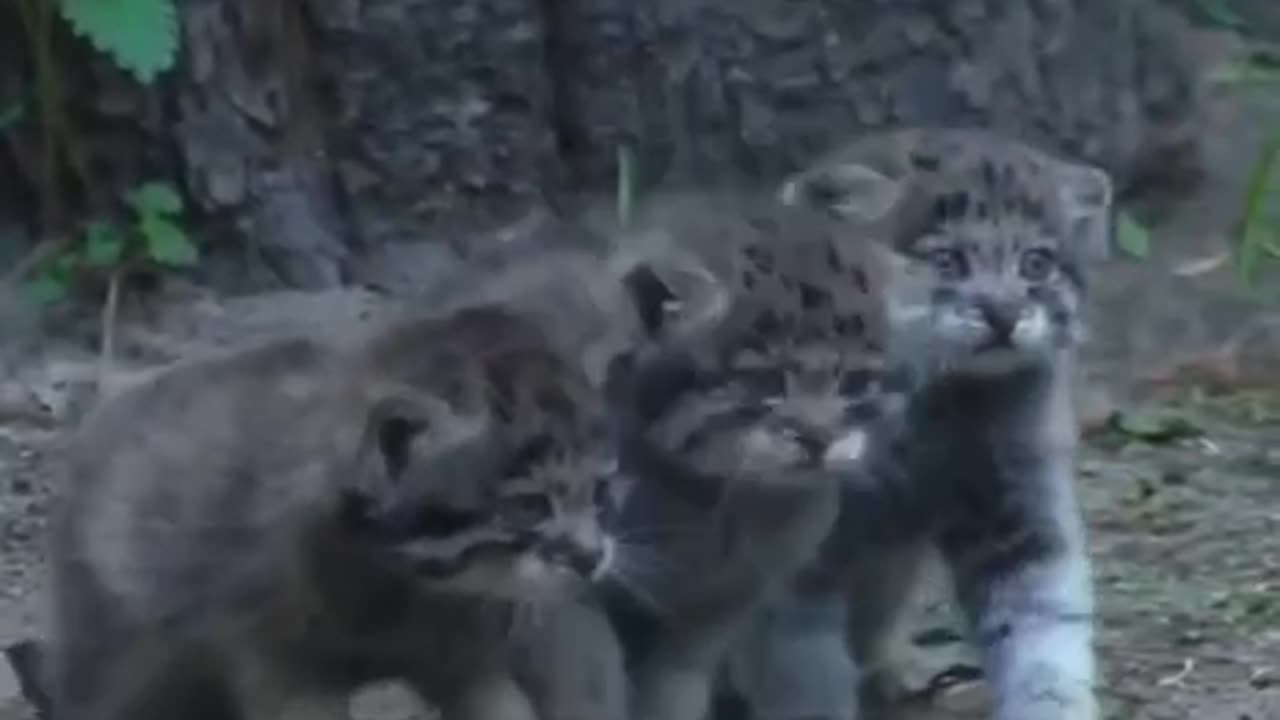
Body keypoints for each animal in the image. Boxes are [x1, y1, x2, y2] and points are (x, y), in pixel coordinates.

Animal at [727, 128, 1116, 717]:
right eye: (945, 261)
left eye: (1036, 264)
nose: (1004, 315)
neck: (928, 409)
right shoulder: (794, 571)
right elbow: (802, 675)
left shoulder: (1020, 519)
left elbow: (1045, 637)